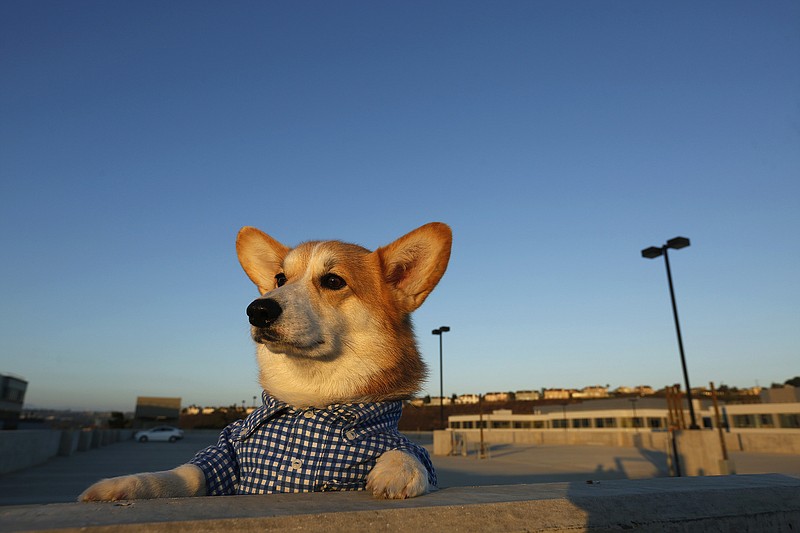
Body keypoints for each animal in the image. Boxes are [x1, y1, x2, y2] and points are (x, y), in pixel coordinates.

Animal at [83, 220, 454, 498]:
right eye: (279, 279)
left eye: (333, 280)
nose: (257, 309)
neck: (310, 398)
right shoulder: (227, 455)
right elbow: (190, 473)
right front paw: (126, 485)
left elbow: (410, 451)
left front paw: (399, 470)